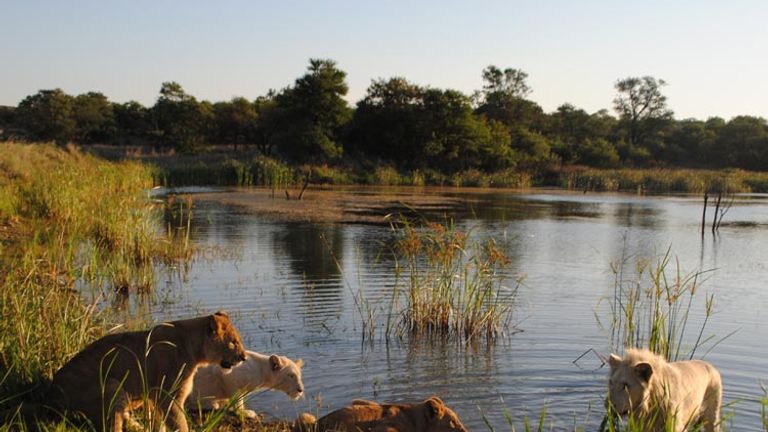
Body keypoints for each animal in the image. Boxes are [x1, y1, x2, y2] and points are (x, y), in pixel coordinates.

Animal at [43, 311, 246, 432]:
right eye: (233, 342)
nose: (244, 357)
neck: (194, 350)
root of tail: (50, 397)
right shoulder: (168, 397)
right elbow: (180, 424)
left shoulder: (154, 398)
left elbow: (158, 424)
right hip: (112, 385)